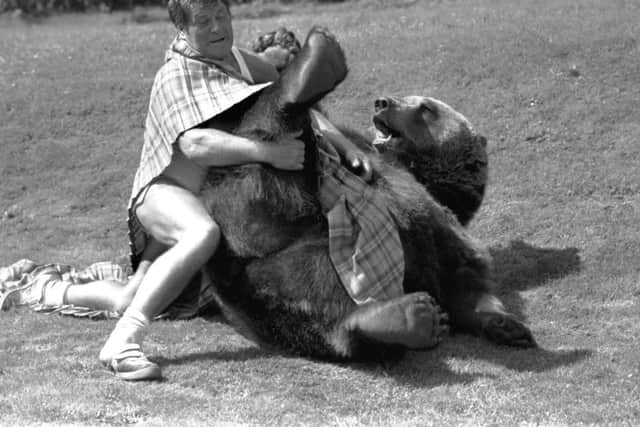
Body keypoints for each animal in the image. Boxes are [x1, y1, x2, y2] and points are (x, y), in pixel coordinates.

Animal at [196, 26, 536, 362]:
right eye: (408, 99)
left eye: (426, 108)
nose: (382, 102)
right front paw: (274, 43)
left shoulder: (445, 236)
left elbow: (468, 282)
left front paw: (508, 326)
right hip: (276, 184)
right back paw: (314, 64)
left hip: (272, 277)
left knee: (318, 307)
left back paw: (400, 320)